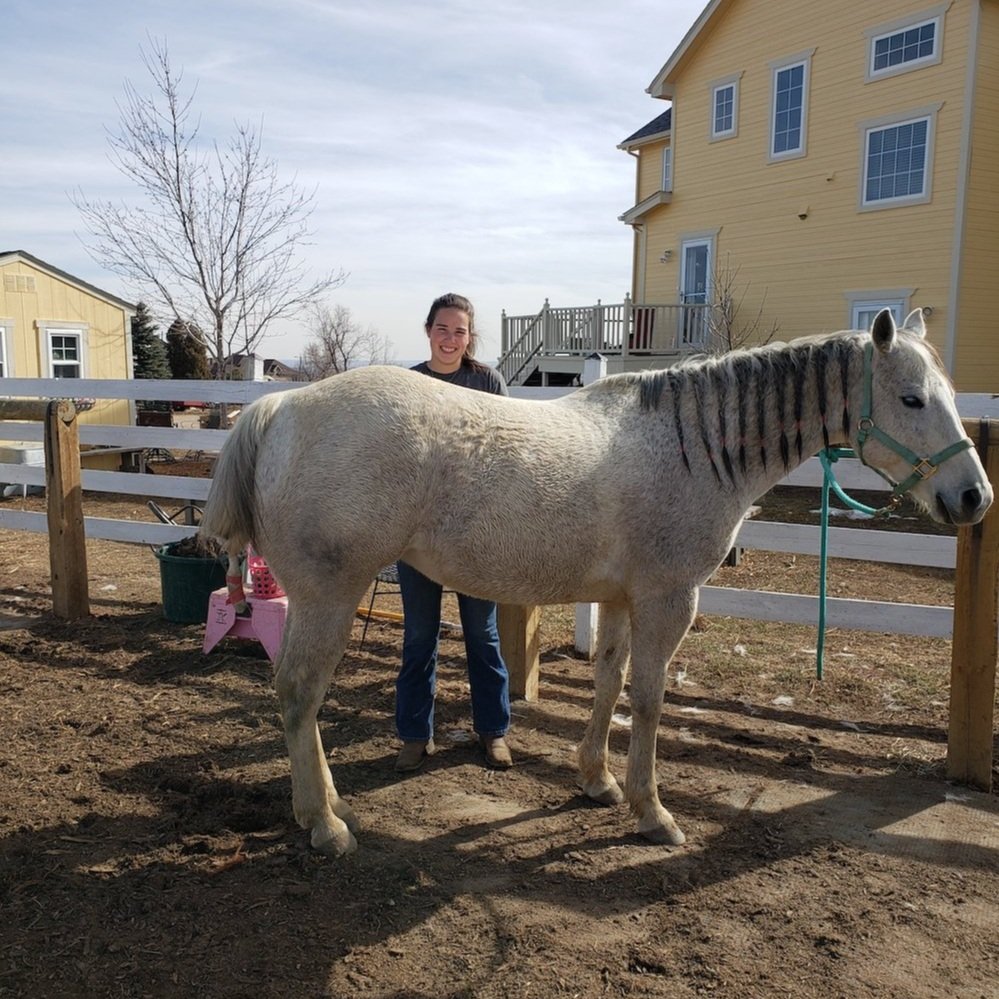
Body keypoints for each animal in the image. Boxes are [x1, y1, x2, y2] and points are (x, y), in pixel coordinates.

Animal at [197, 308, 992, 856]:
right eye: (913, 399)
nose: (974, 497)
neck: (690, 446)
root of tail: (280, 406)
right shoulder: (669, 600)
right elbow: (648, 700)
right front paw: (651, 811)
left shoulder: (617, 599)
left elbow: (608, 684)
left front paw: (596, 781)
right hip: (329, 596)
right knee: (299, 693)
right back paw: (324, 824)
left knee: (298, 699)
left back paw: (328, 805)